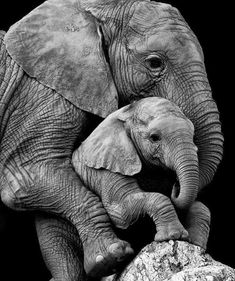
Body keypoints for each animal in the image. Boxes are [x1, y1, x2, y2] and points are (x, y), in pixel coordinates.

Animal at [73, 95, 209, 262]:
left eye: (193, 135)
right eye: (154, 137)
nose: (176, 186)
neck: (126, 113)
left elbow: (199, 206)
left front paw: (195, 244)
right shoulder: (107, 167)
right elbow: (120, 212)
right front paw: (173, 235)